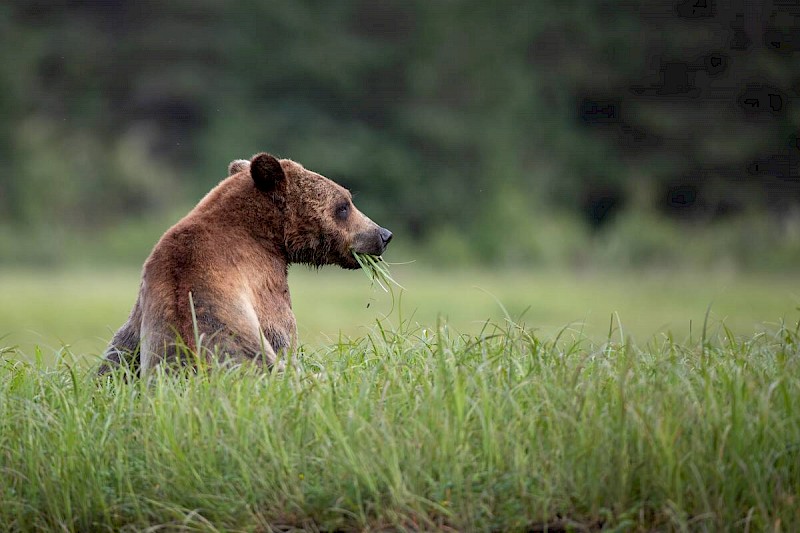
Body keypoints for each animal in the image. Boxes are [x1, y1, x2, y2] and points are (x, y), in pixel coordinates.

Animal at [100, 152, 394, 372]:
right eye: (343, 206)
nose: (383, 234)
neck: (266, 235)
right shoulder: (263, 284)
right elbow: (284, 336)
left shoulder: (144, 301)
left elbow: (117, 354)